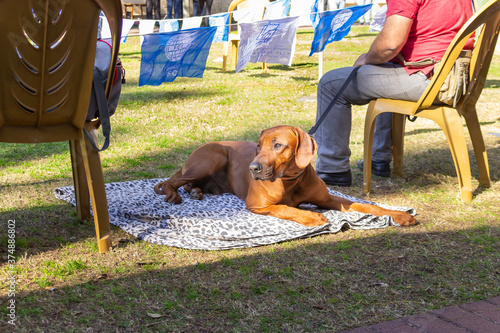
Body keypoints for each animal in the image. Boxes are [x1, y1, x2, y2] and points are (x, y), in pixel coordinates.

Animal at [153, 126, 418, 227]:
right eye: (258, 146)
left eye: (278, 145)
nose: (253, 168)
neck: (291, 180)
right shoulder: (257, 205)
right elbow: (285, 208)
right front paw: (311, 216)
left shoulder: (330, 199)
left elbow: (368, 206)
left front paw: (399, 215)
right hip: (212, 157)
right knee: (167, 183)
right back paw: (173, 194)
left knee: (187, 184)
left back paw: (196, 192)